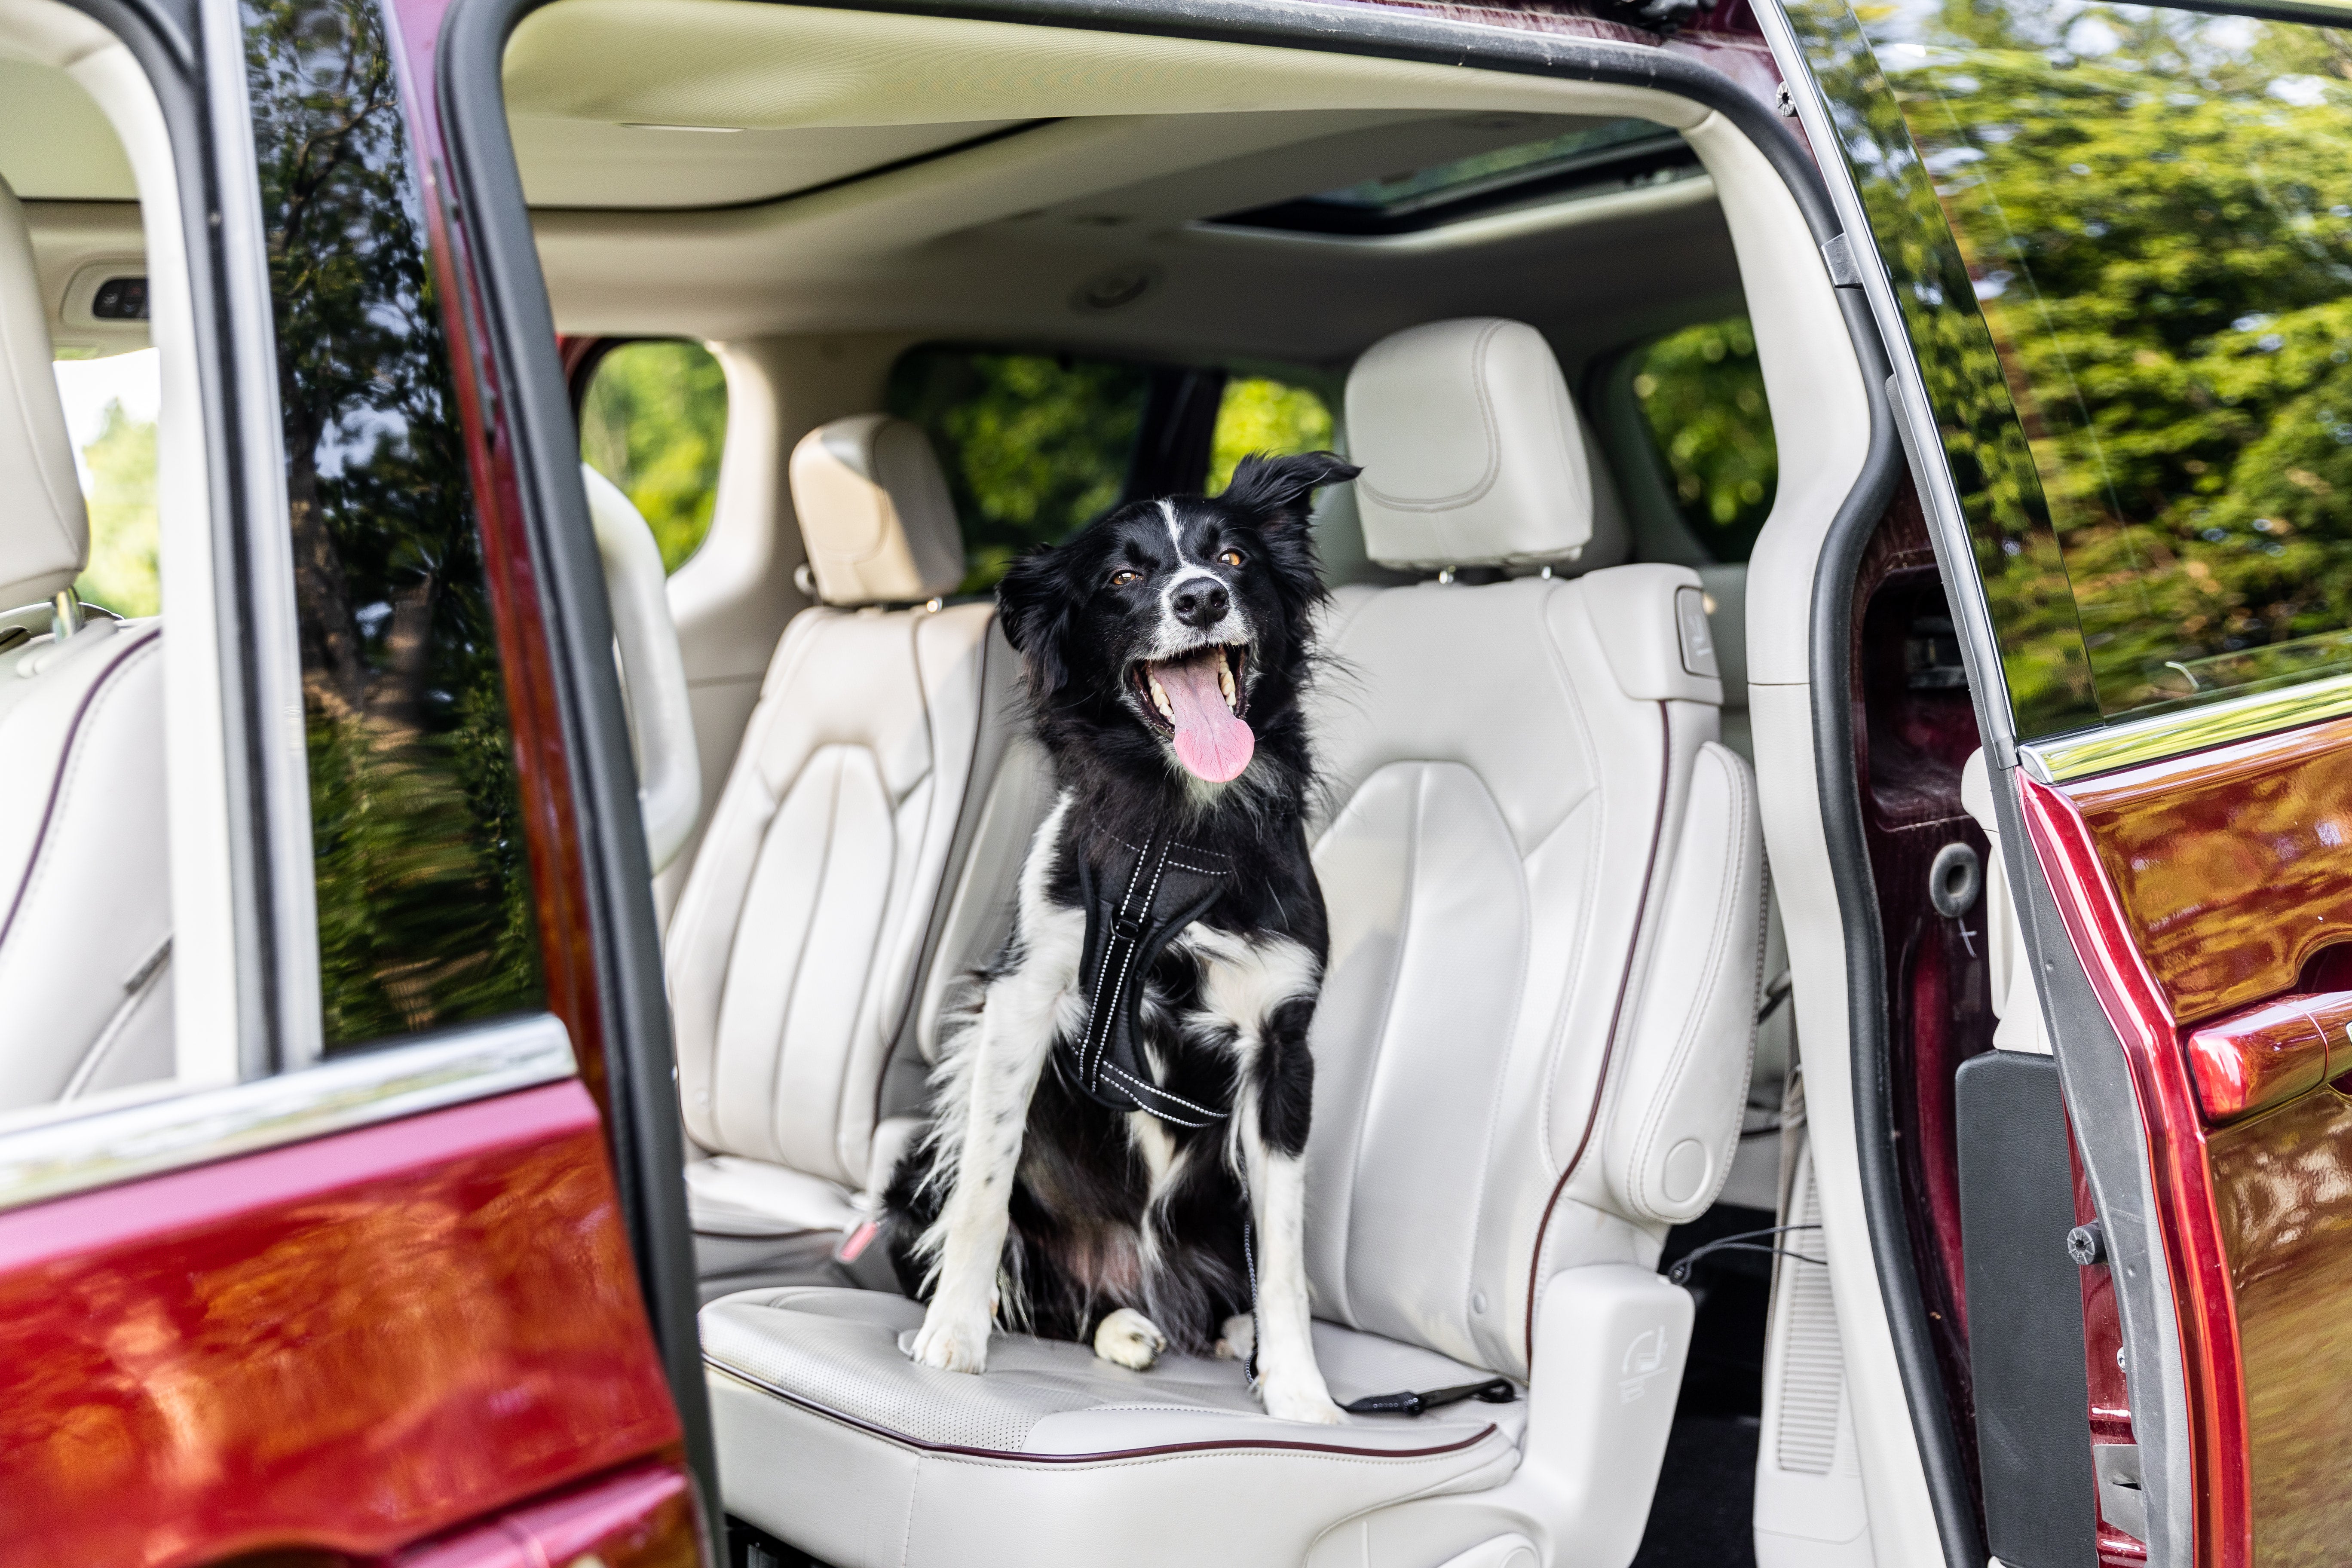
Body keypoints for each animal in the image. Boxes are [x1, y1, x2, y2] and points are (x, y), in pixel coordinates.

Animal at [884, 451, 1364, 1420]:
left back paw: (1229, 1334)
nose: (1201, 598)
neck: (1177, 834)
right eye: (1123, 576)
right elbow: (986, 1190)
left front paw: (1299, 1390)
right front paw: (953, 1337)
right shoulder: (1022, 999)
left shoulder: (1281, 1050)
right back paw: (1120, 1327)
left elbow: (1283, 1251)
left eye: (1231, 556)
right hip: (915, 1173)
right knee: (1055, 1294)